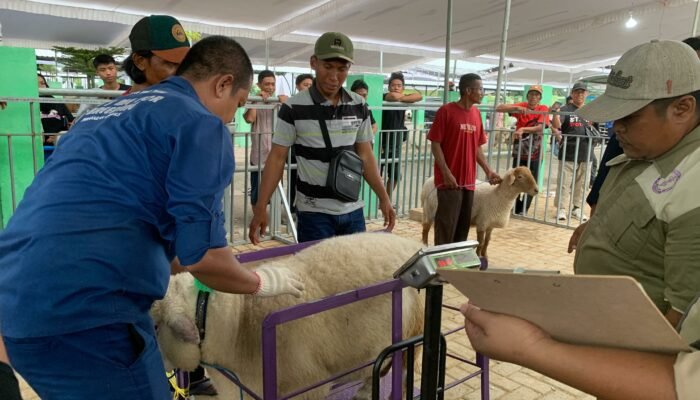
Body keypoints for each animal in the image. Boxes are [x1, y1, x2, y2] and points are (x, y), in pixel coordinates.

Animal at [150, 233, 424, 398]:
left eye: (155, 327)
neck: (239, 322)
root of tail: (411, 244)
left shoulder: (306, 386)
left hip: (411, 336)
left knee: (398, 374)